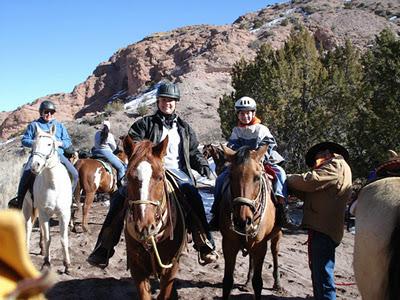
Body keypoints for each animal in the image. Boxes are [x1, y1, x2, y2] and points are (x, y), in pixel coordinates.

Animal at [22, 124, 72, 274]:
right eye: (33, 143)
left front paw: (67, 265)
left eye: (50, 144)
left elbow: (63, 239)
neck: (53, 185)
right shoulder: (44, 213)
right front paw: (46, 263)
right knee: (28, 227)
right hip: (28, 207)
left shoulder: (64, 214)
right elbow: (48, 238)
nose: (35, 166)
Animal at [219, 144, 282, 298]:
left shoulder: (260, 246)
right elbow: (227, 281)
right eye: (230, 176)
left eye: (257, 177)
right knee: (251, 259)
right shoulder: (228, 244)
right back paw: (247, 283)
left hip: (277, 235)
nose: (242, 220)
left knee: (275, 252)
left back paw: (277, 284)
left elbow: (258, 283)